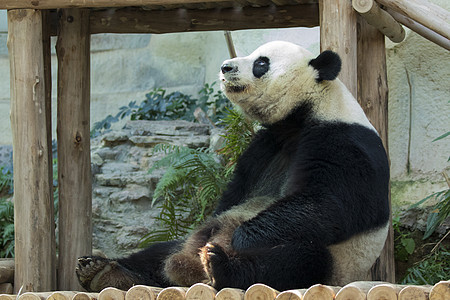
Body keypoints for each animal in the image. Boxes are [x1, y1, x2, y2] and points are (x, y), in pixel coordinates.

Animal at [75, 41, 388, 292]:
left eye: (261, 63)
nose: (226, 67)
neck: (302, 114)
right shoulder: (264, 147)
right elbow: (232, 197)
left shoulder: (342, 141)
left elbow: (329, 203)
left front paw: (240, 236)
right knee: (160, 251)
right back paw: (104, 270)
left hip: (335, 263)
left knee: (297, 259)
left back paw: (221, 266)